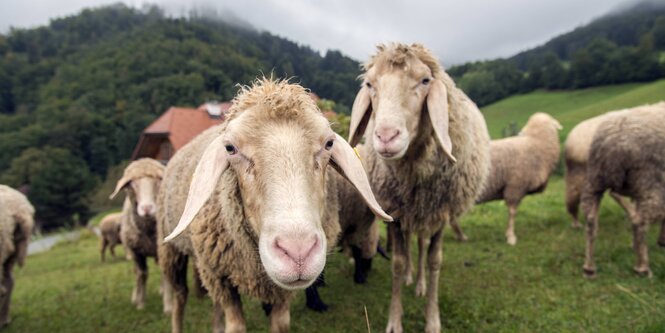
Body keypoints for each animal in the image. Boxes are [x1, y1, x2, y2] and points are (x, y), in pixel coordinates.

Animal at [109, 158, 165, 308]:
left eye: (157, 181)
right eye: (132, 184)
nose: (147, 208)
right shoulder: (136, 252)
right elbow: (142, 274)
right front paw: (140, 302)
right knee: (137, 273)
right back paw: (135, 295)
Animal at [155, 78, 390, 332]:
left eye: (329, 144)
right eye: (230, 148)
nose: (298, 252)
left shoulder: (279, 294)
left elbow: (280, 324)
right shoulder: (221, 278)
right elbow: (235, 326)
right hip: (174, 251)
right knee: (180, 296)